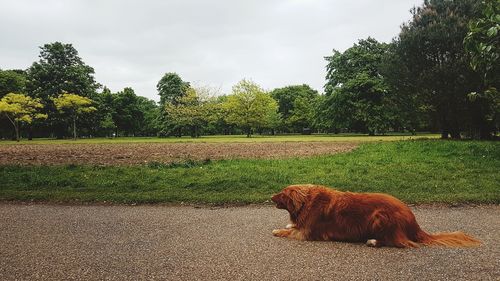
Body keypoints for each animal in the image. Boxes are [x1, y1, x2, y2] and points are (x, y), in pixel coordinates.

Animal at [272, 185, 482, 246]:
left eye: (282, 193)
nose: (270, 196)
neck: (307, 201)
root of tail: (414, 223)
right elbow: (293, 225)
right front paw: (288, 224)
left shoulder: (307, 232)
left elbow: (290, 231)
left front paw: (278, 230)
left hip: (380, 217)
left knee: (399, 242)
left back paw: (373, 241)